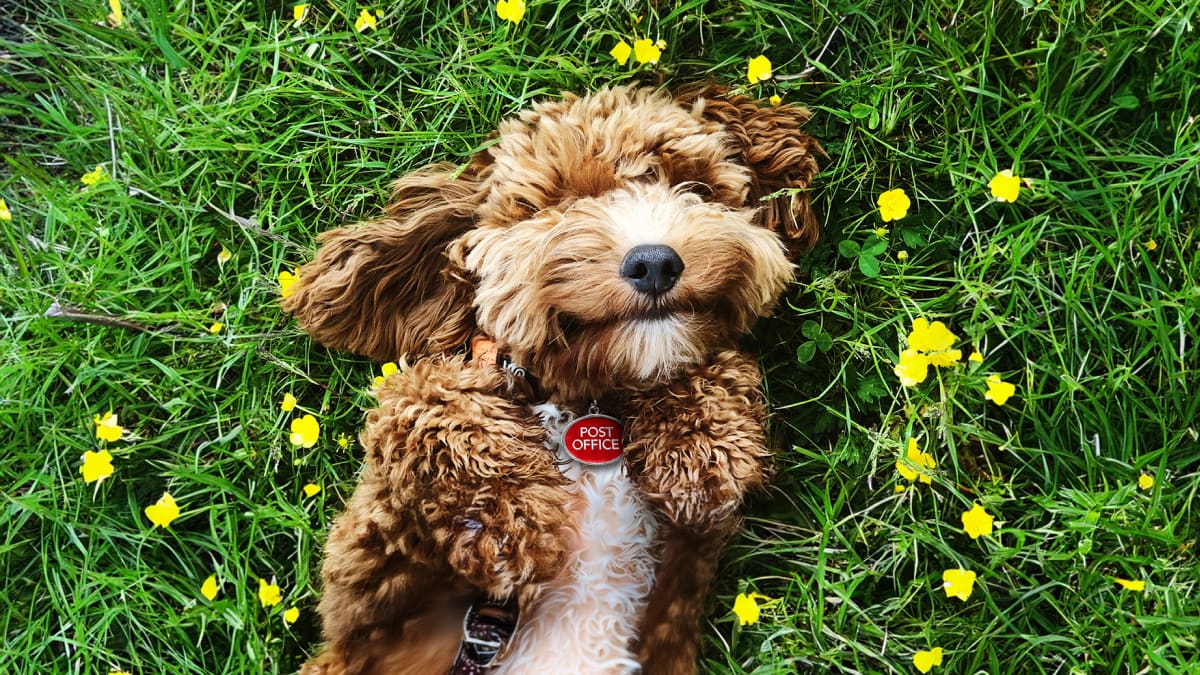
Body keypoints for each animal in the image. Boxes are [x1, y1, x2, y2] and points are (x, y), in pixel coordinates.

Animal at [285, 84, 820, 672]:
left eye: (694, 188)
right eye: (557, 205)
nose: (655, 262)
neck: (585, 405)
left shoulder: (689, 550)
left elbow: (715, 373)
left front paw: (698, 446)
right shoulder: (371, 582)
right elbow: (421, 396)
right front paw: (509, 515)